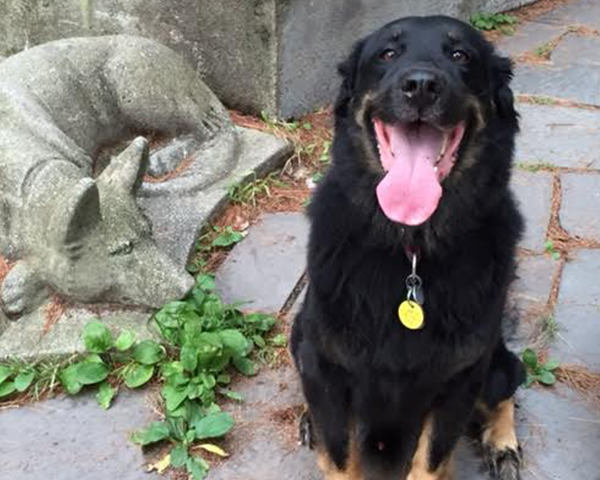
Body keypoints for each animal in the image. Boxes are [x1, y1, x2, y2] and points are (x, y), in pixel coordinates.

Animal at [292, 15, 524, 480]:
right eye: (388, 53)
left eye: (460, 55)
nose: (420, 85)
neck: (410, 246)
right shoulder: (326, 367)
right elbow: (339, 452)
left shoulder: (461, 376)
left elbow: (431, 457)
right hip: (298, 335)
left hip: (494, 362)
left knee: (509, 384)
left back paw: (503, 442)